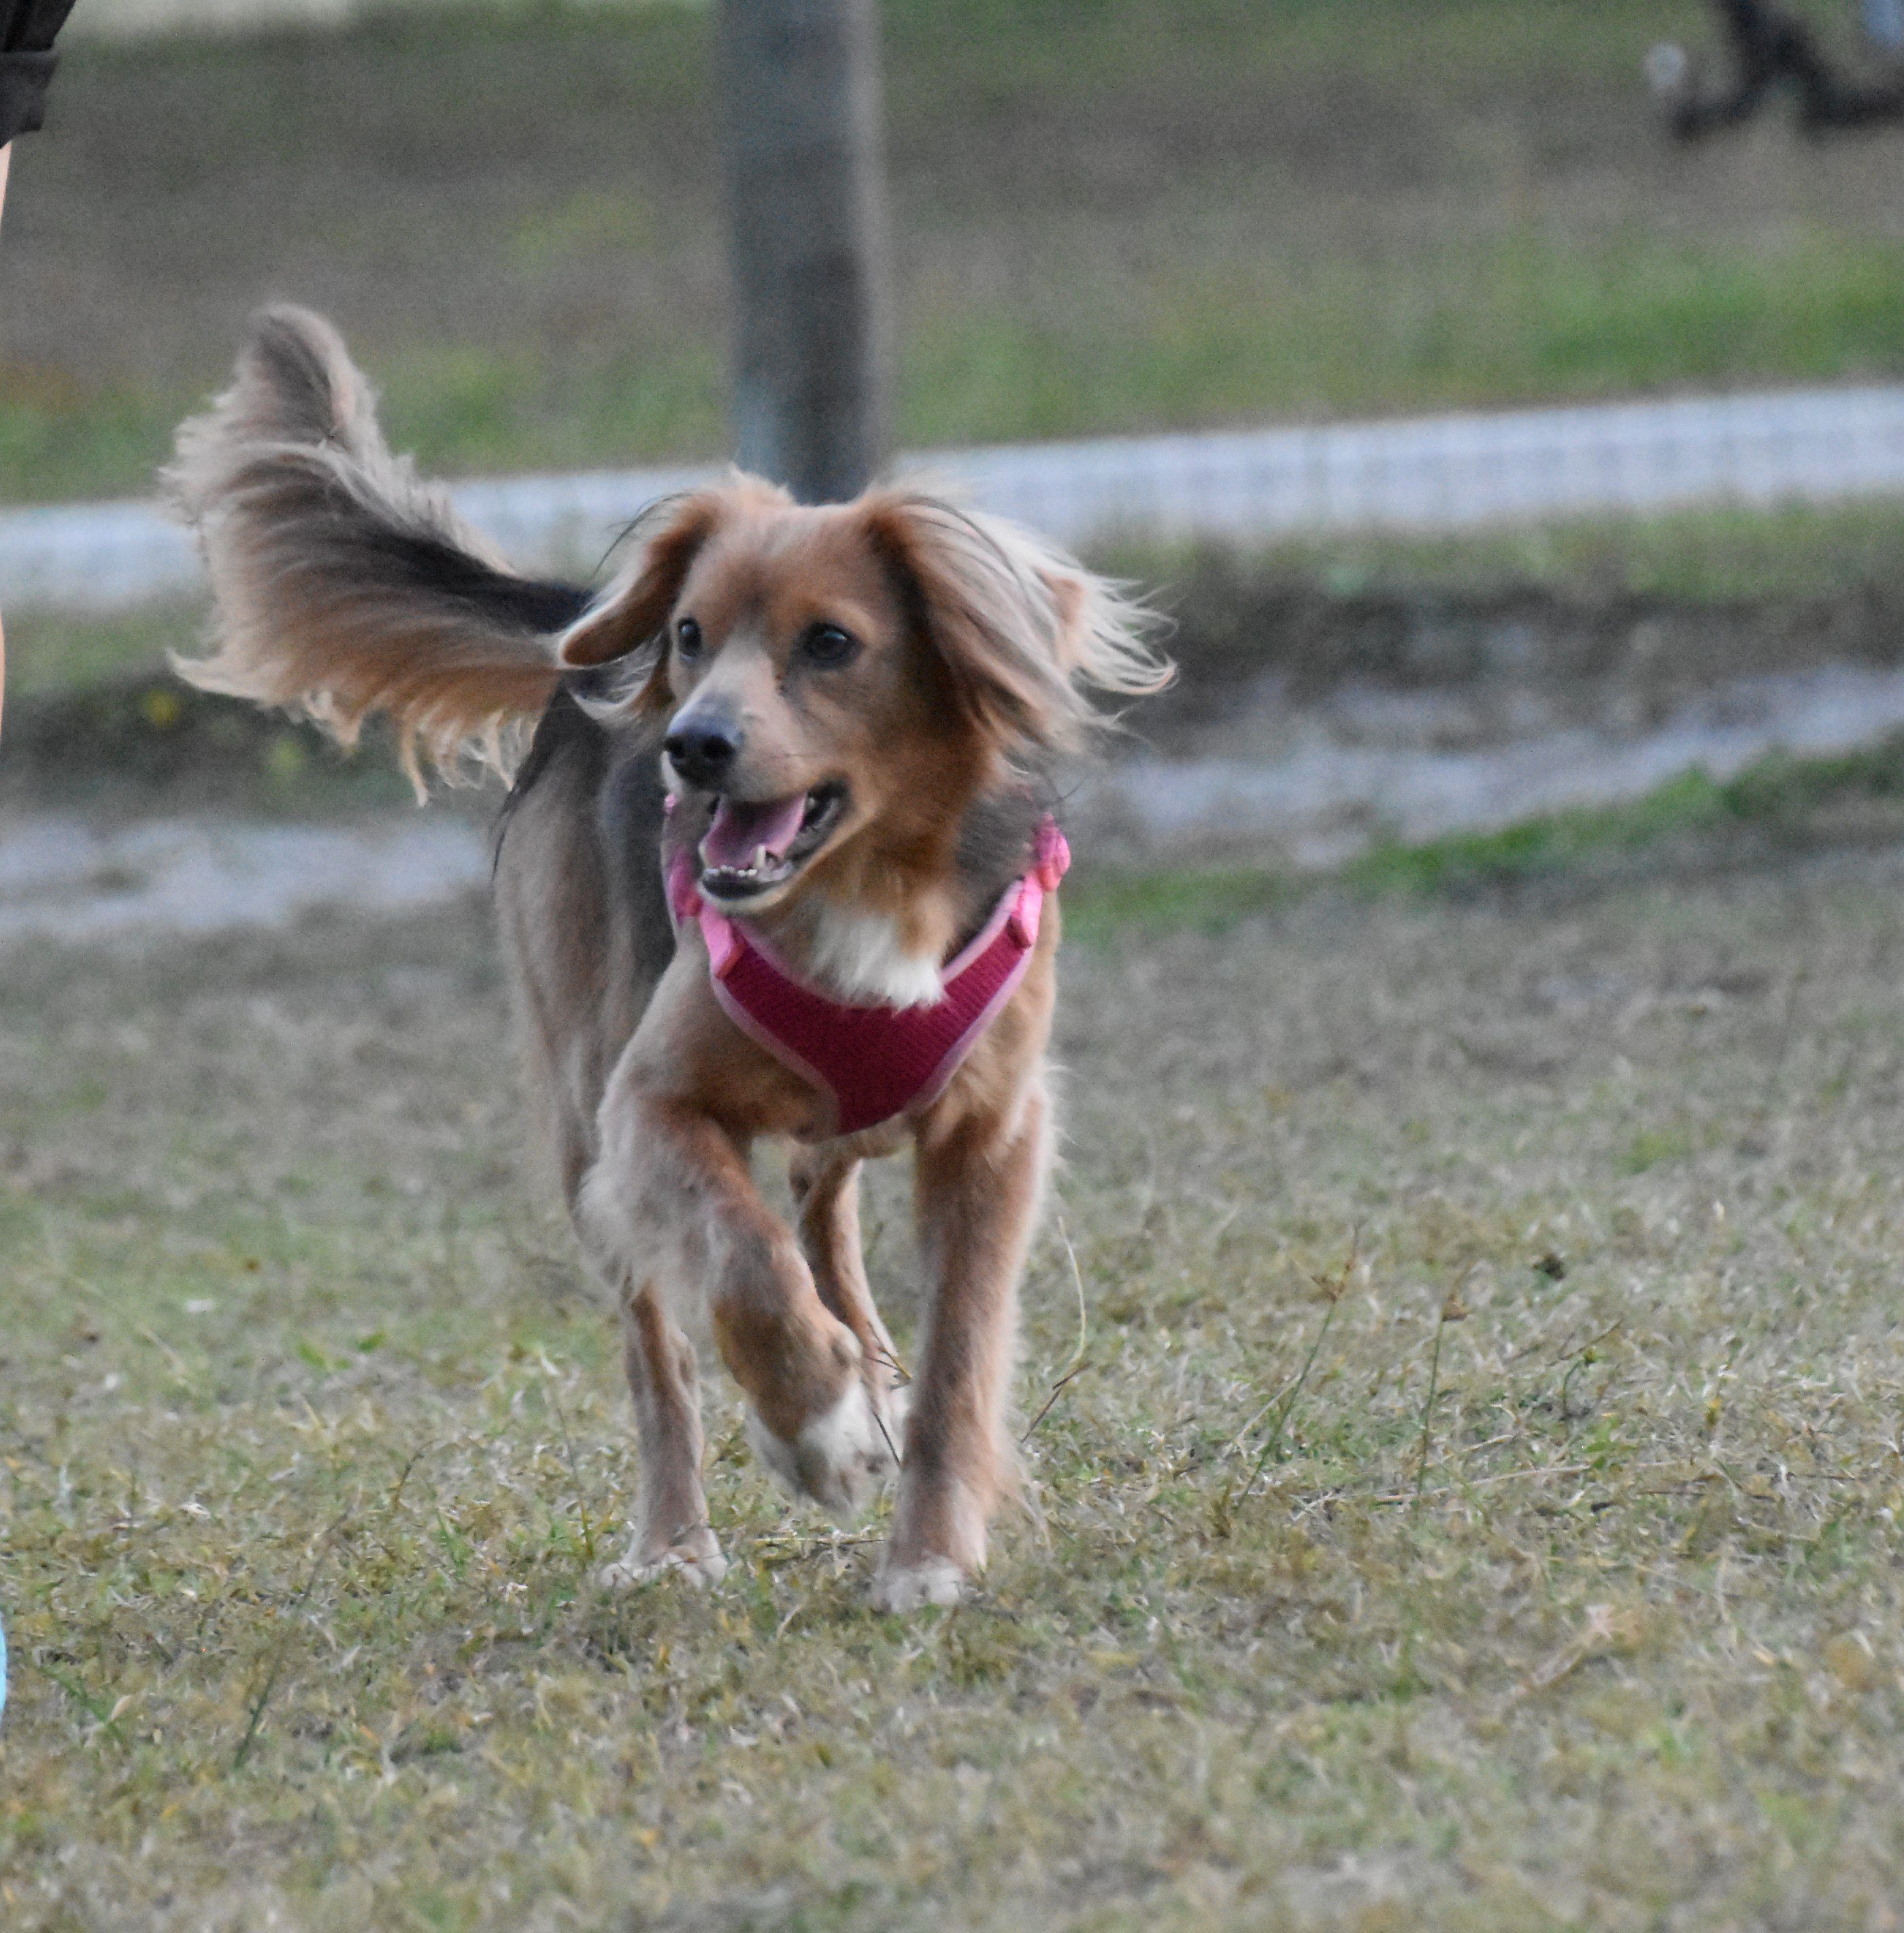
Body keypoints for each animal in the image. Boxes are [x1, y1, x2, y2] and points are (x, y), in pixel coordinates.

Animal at [171, 309, 1167, 1616]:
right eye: (693, 636)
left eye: (831, 643)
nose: (690, 745)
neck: (862, 887)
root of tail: (580, 659)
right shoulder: (651, 1103)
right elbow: (741, 1266)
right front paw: (813, 1428)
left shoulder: (990, 1134)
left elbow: (958, 1351)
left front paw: (926, 1547)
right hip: (583, 1111)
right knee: (667, 1354)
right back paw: (677, 1541)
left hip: (826, 1134)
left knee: (825, 1226)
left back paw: (867, 1375)